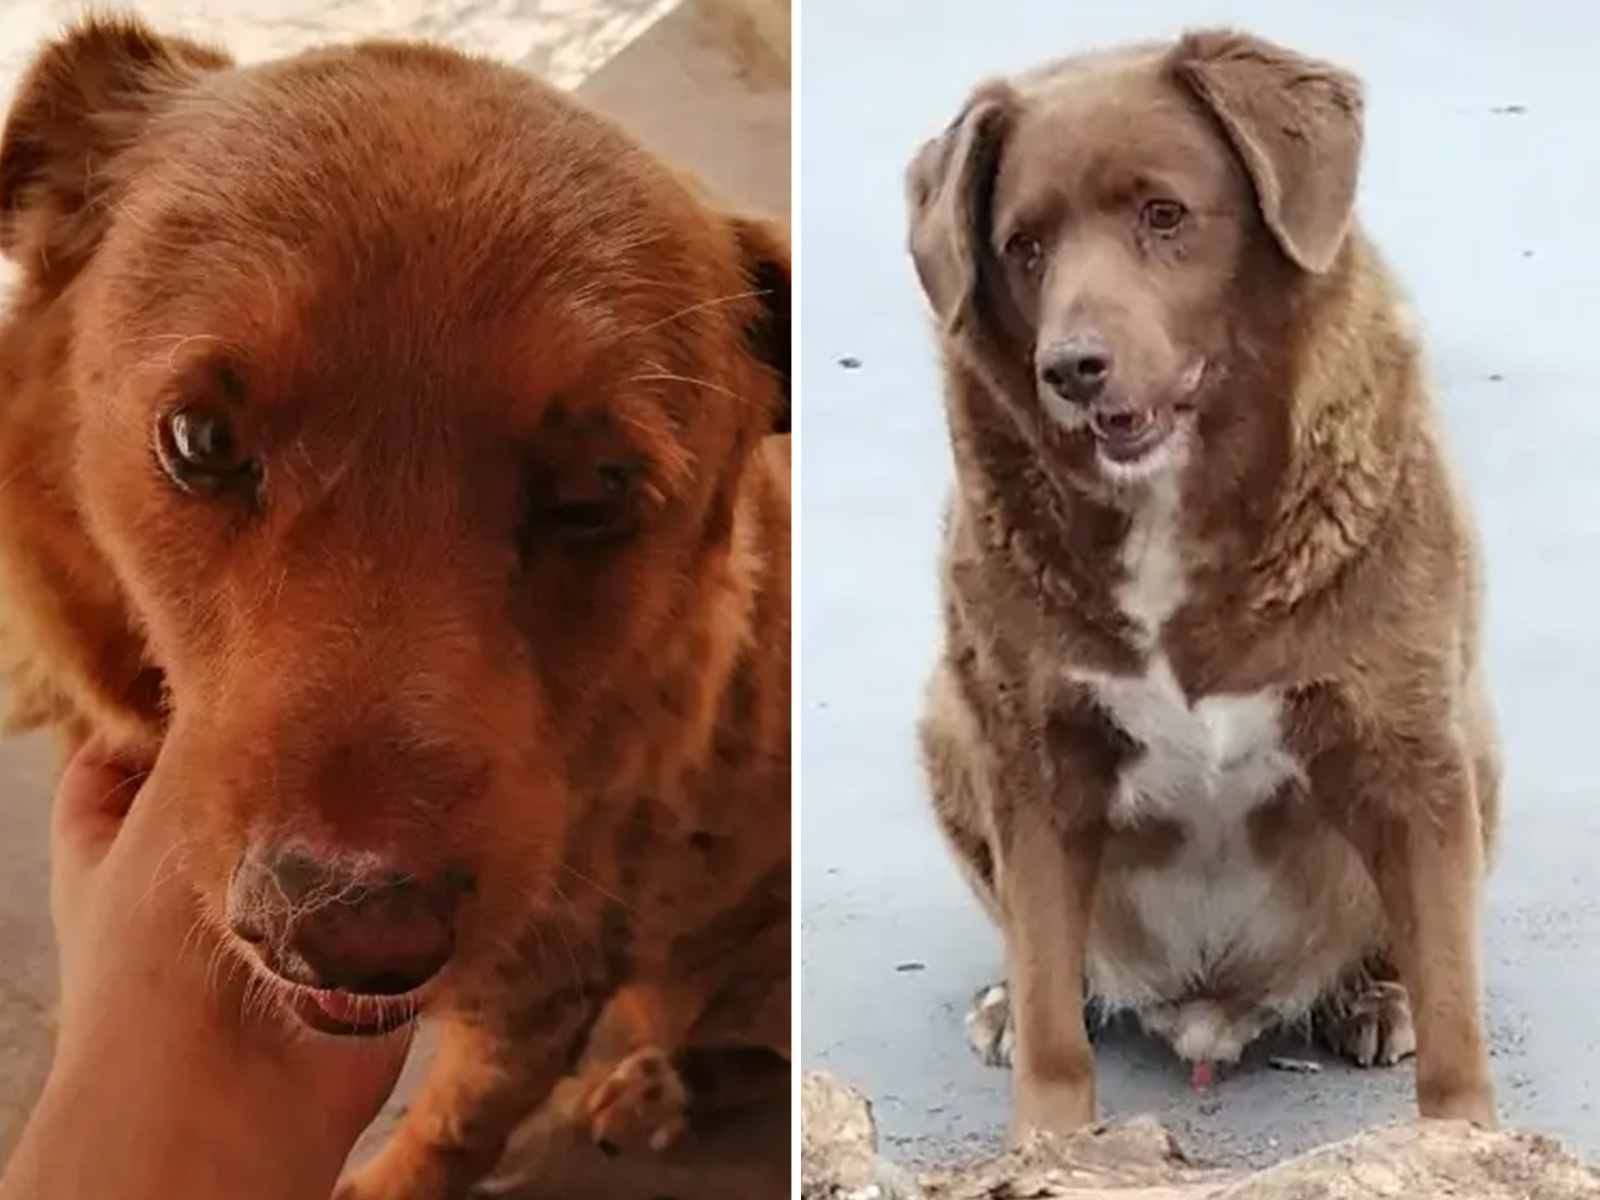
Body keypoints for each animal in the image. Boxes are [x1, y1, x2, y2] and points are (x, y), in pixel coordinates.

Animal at [915, 25, 1497, 1139]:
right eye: (1024, 247)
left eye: (1164, 215)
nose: (1071, 367)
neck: (1169, 508)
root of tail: (1211, 1003)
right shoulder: (1033, 760)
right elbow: (1052, 1013)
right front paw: (1048, 1143)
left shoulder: (1408, 749)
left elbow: (1454, 1009)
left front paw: (1463, 1142)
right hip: (948, 722)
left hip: (1474, 750)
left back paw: (1372, 995)